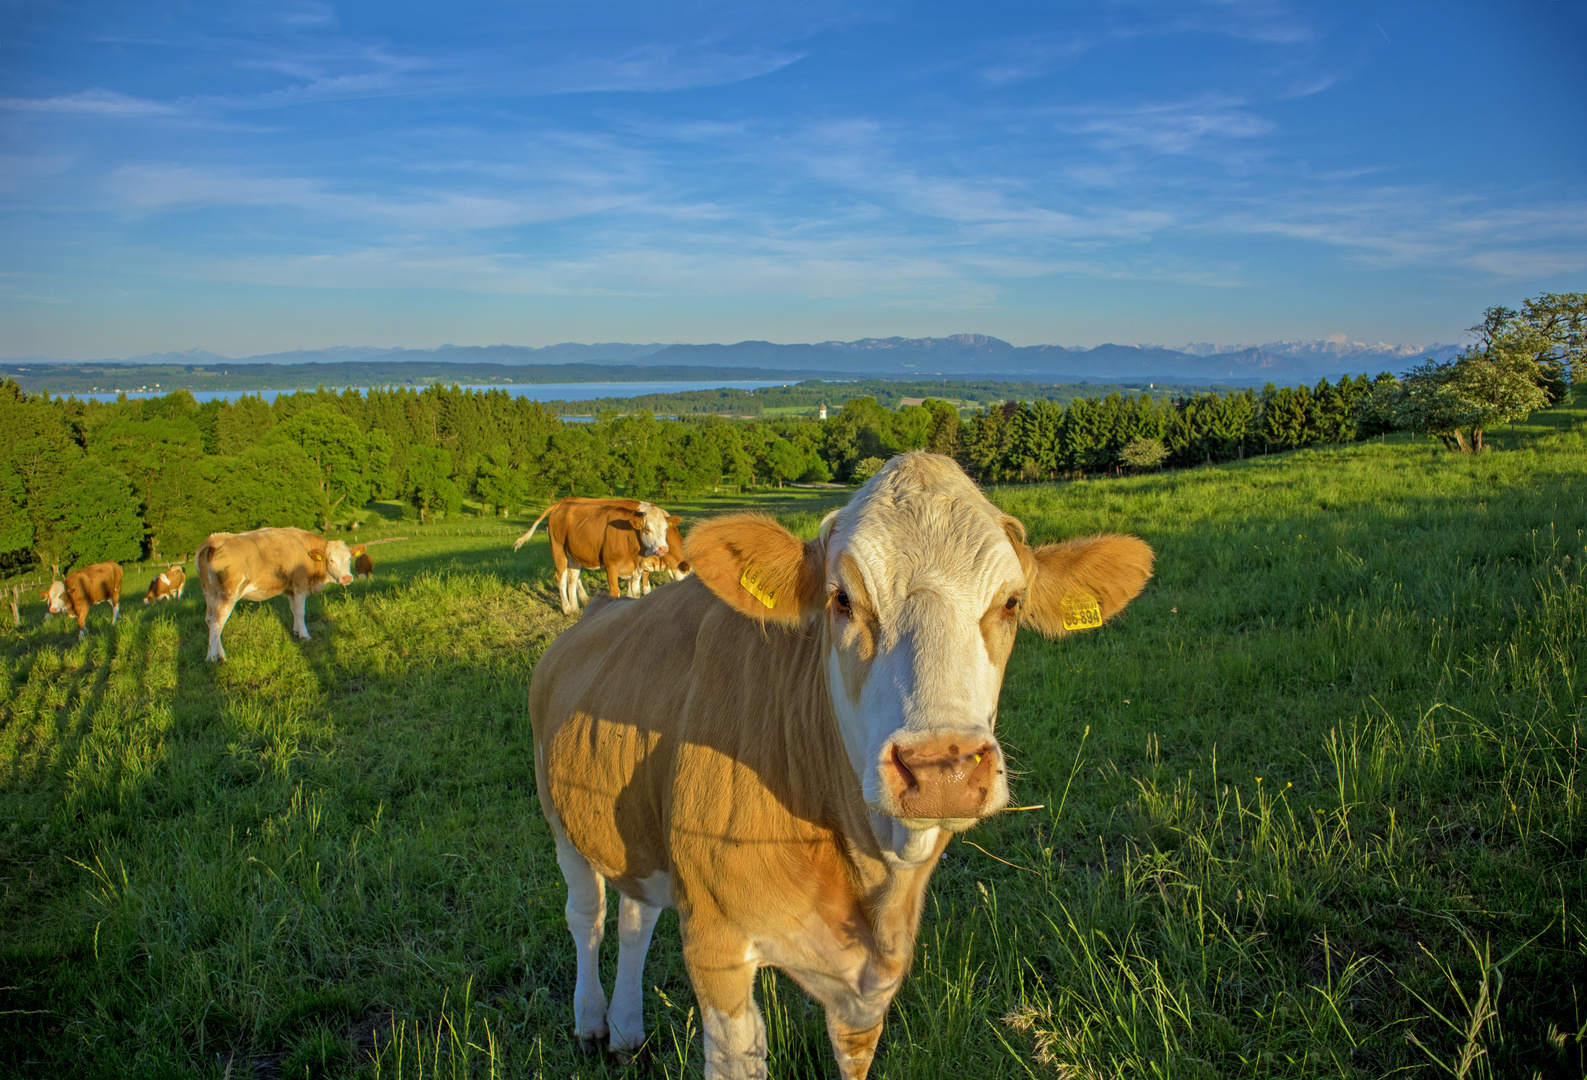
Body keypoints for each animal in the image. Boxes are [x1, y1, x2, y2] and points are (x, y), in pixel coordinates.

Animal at [195, 526, 363, 662]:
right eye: (331, 559)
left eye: (349, 558)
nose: (347, 578)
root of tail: (215, 540)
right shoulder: (300, 584)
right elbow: (300, 611)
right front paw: (305, 635)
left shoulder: (290, 589)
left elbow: (293, 610)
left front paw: (296, 631)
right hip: (228, 594)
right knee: (217, 623)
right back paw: (215, 657)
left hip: (210, 593)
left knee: (209, 620)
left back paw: (215, 654)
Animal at [514, 497, 676, 615]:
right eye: (647, 529)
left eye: (666, 529)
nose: (663, 548)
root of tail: (560, 504)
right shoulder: (611, 567)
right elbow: (615, 594)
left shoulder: (636, 570)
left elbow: (634, 594)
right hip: (558, 549)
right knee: (561, 578)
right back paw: (567, 609)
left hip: (573, 554)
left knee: (572, 579)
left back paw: (575, 607)